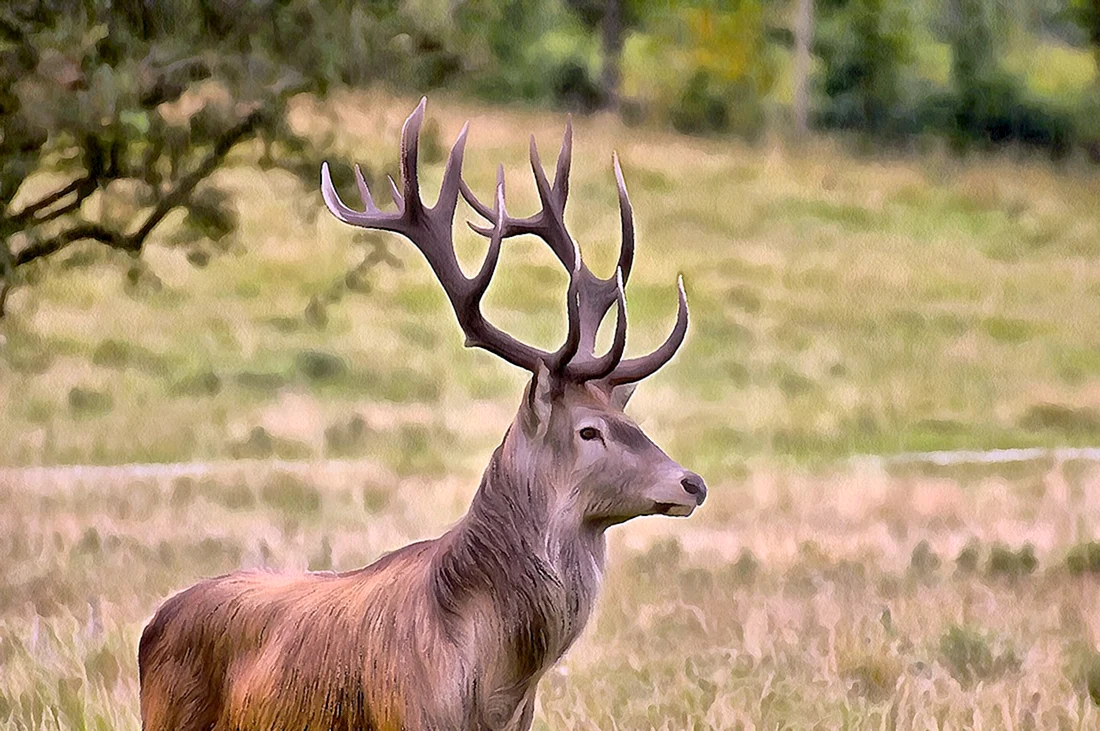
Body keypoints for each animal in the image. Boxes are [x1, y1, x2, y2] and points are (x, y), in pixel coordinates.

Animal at [137, 98, 706, 731]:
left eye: (636, 422)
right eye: (589, 430)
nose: (692, 483)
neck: (495, 688)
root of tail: (152, 625)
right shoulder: (405, 716)